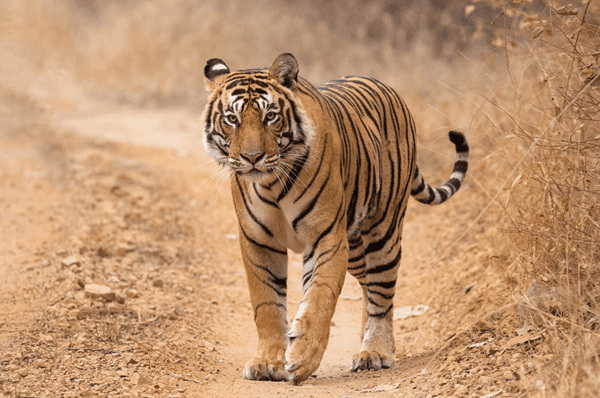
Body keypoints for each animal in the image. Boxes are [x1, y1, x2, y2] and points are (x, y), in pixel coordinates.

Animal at [202, 52, 468, 382]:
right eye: (232, 119)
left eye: (270, 116)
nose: (252, 158)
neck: (272, 182)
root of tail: (387, 88)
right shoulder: (258, 241)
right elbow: (266, 304)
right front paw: (267, 361)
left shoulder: (325, 236)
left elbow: (319, 297)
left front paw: (303, 358)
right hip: (354, 249)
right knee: (369, 289)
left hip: (383, 234)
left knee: (383, 294)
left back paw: (375, 351)